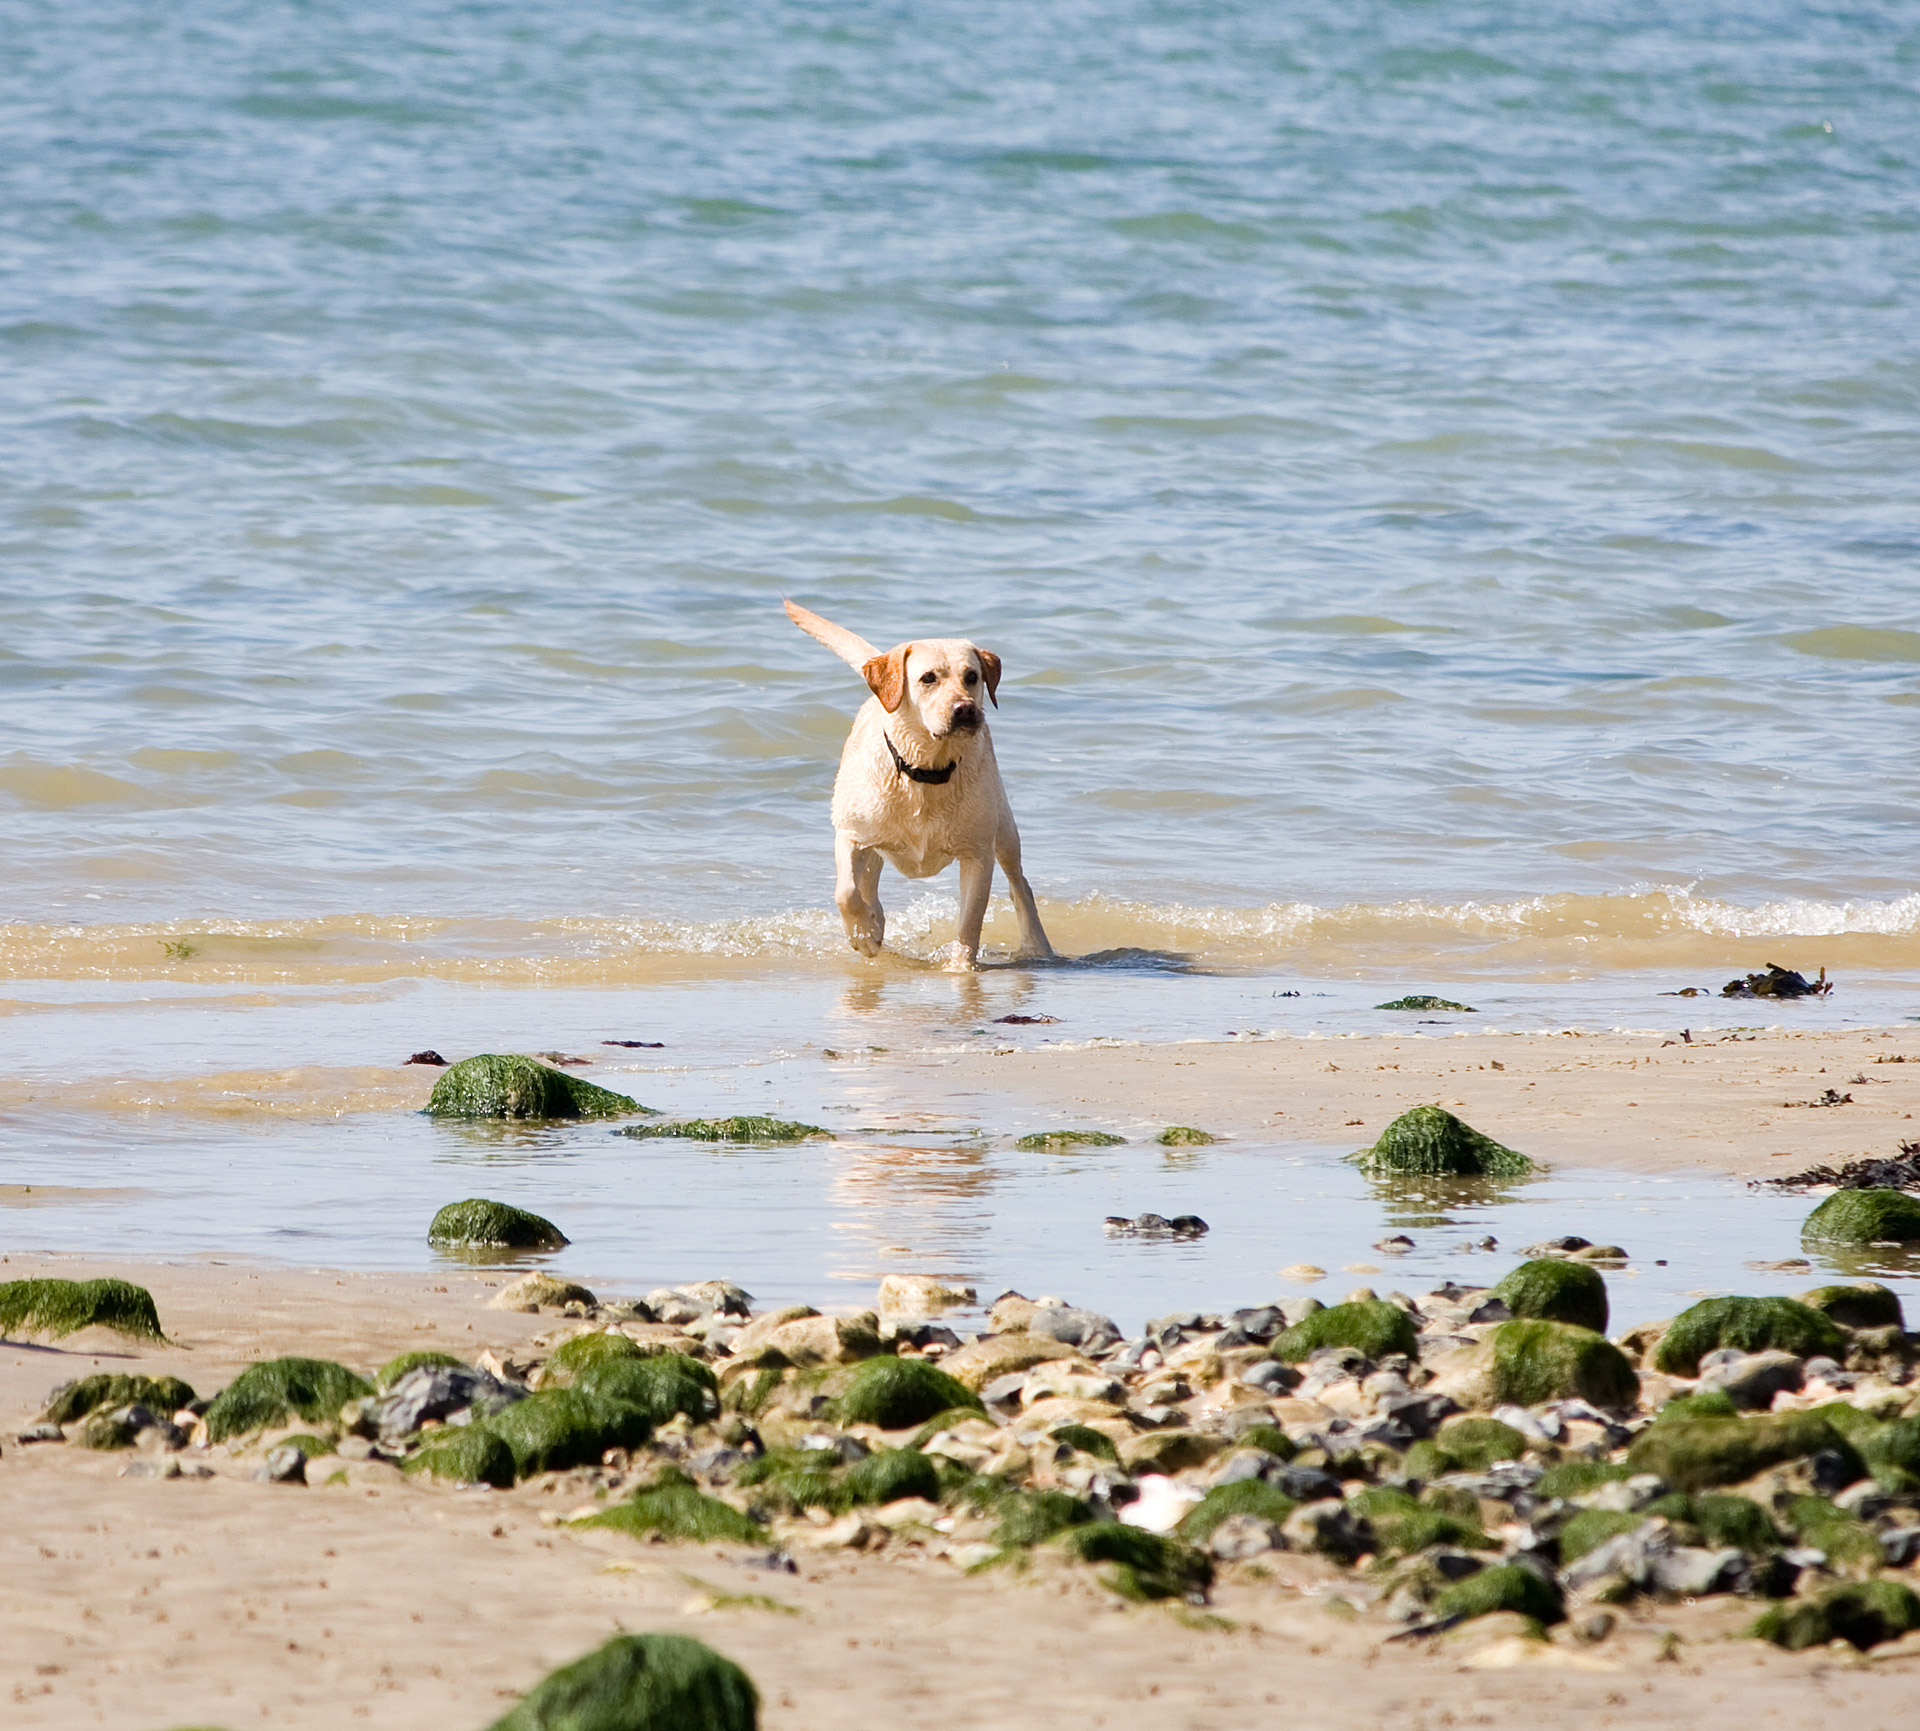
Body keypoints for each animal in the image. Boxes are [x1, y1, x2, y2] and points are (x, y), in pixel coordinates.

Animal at [783, 602, 1059, 967]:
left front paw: (961, 968)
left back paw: (1039, 946)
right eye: (928, 678)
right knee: (866, 882)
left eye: (972, 676)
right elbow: (846, 892)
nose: (965, 709)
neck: (927, 772)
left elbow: (970, 922)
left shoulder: (978, 856)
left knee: (1019, 884)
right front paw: (865, 933)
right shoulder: (850, 833)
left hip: (1004, 829)